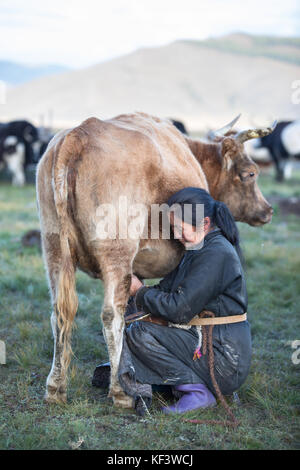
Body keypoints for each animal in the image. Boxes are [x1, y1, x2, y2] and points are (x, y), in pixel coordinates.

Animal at [37, 113, 274, 408]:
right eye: (251, 173)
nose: (268, 210)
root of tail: (78, 133)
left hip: (54, 248)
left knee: (60, 313)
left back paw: (55, 388)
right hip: (116, 251)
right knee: (110, 315)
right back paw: (121, 391)